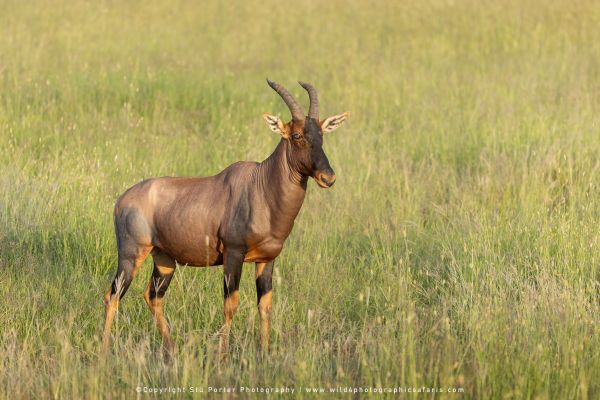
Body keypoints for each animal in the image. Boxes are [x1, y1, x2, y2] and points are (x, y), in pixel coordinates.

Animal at [102, 78, 346, 356]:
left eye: (321, 134)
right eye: (296, 135)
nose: (328, 177)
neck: (261, 185)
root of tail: (121, 201)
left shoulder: (267, 260)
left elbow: (265, 306)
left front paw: (265, 354)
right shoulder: (233, 254)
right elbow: (231, 305)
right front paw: (222, 356)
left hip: (164, 260)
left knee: (153, 296)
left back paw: (172, 350)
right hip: (131, 256)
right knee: (113, 296)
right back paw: (104, 352)